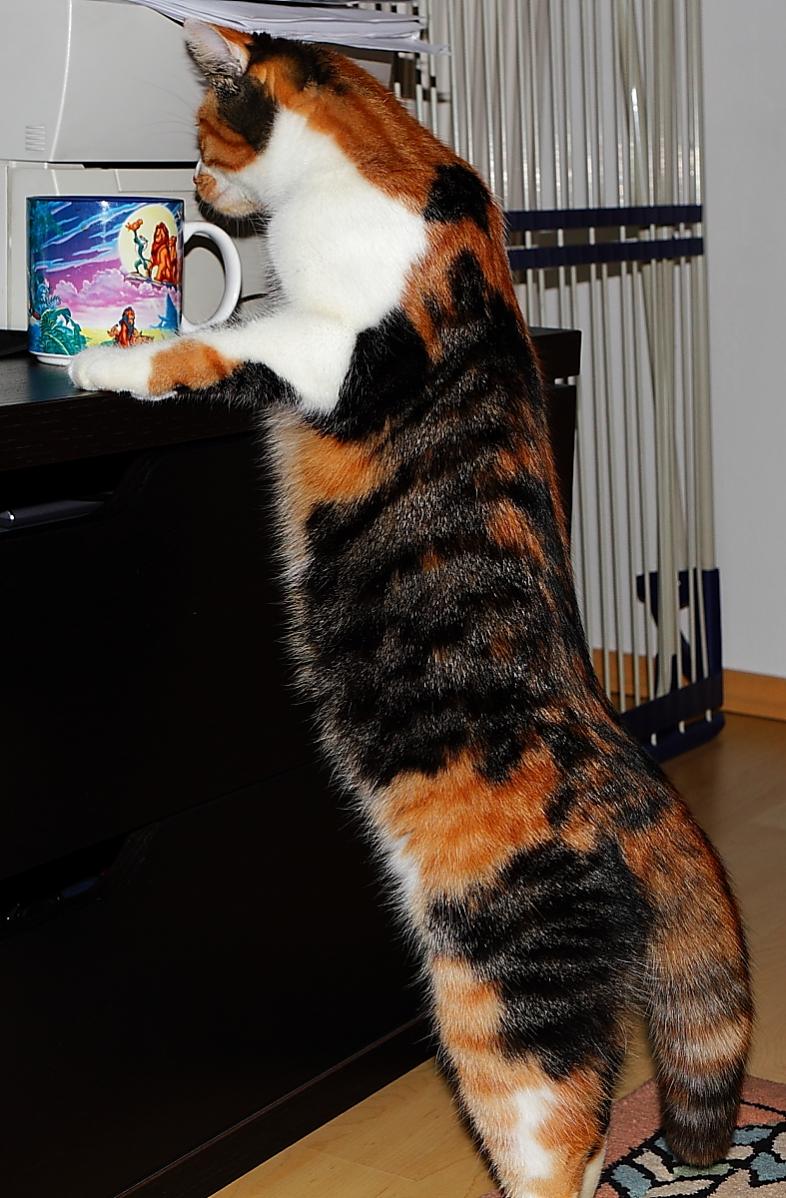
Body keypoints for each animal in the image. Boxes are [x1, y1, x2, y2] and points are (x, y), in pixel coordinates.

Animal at [70, 22, 753, 1198]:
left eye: (200, 130)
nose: (190, 184)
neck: (397, 166)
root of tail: (635, 781)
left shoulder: (329, 344)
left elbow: (220, 342)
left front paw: (98, 360)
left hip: (502, 995)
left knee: (556, 1133)